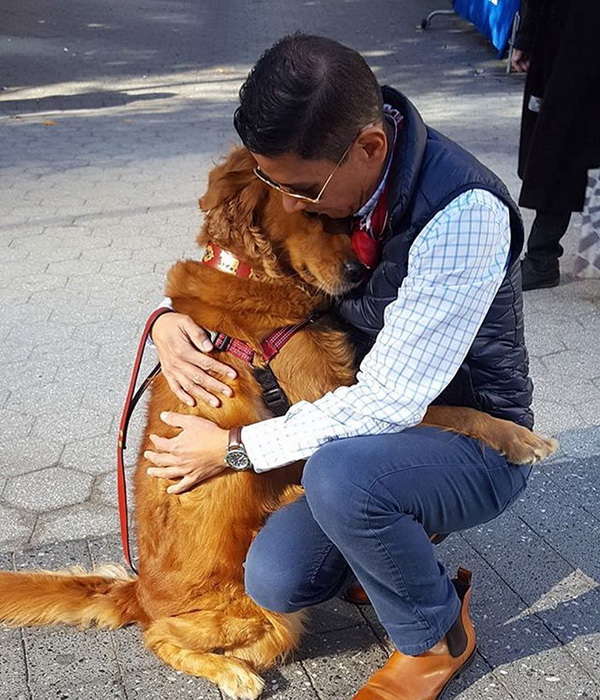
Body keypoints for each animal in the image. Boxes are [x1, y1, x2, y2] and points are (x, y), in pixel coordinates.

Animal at [0, 145, 556, 696]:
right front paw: (520, 437)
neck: (250, 272)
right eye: (311, 214)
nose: (358, 271)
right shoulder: (326, 393)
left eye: (345, 218)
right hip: (260, 614)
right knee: (163, 636)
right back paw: (235, 673)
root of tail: (139, 590)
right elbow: (442, 408)